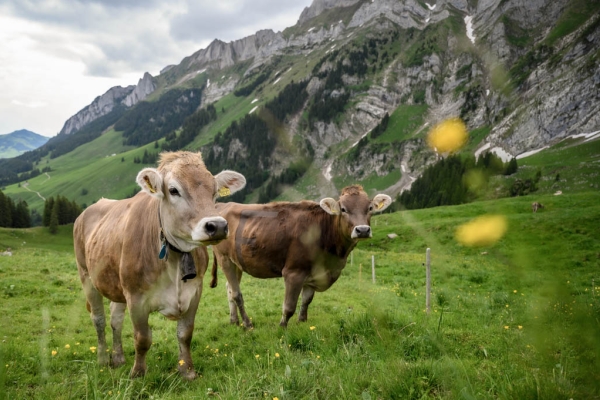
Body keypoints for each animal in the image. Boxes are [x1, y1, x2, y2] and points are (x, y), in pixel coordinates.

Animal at [73, 151, 246, 378]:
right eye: (173, 190)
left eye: (214, 190)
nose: (217, 226)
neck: (175, 261)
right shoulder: (135, 297)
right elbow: (142, 338)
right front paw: (137, 374)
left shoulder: (195, 292)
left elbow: (185, 334)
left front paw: (187, 371)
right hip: (86, 276)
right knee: (99, 319)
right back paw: (103, 360)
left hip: (115, 283)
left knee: (115, 318)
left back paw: (118, 358)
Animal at [211, 186, 394, 326]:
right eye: (343, 209)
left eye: (370, 208)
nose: (362, 230)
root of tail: (224, 205)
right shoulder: (293, 272)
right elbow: (289, 307)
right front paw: (282, 328)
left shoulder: (314, 274)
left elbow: (306, 301)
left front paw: (302, 323)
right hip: (224, 258)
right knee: (236, 293)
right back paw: (247, 323)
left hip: (237, 261)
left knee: (229, 289)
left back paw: (234, 321)